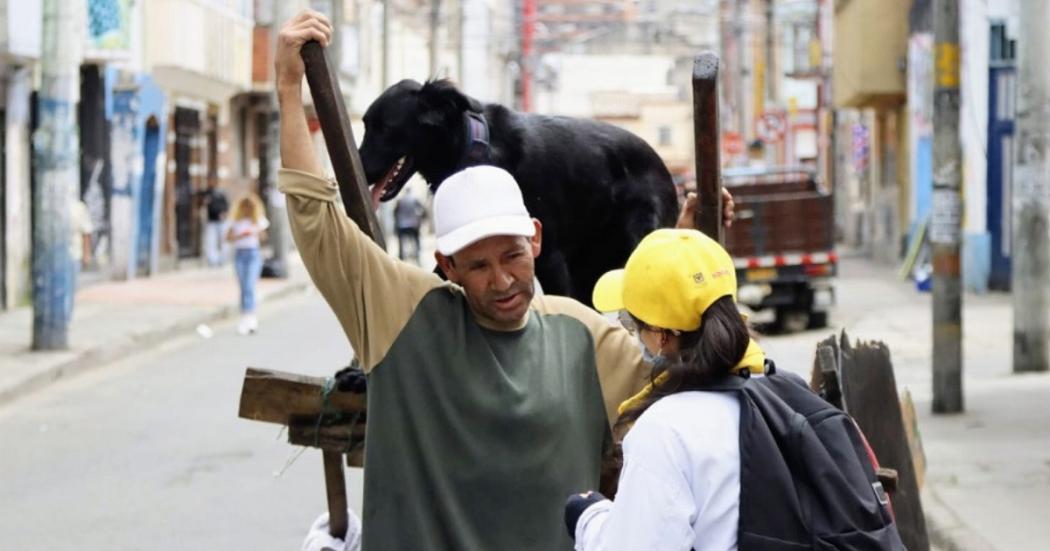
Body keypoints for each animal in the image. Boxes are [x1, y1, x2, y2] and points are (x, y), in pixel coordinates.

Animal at [356, 77, 676, 300]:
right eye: (365, 124)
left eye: (384, 128)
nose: (357, 166)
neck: (479, 158)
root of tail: (662, 167)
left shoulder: (549, 258)